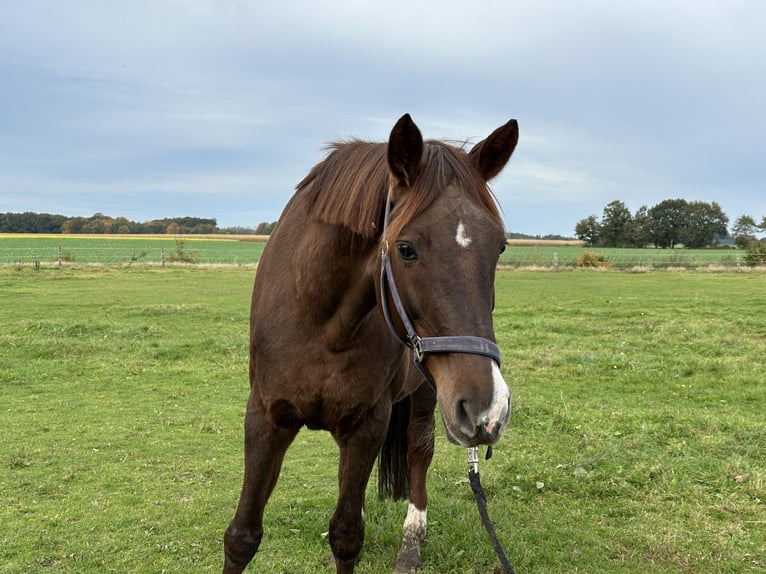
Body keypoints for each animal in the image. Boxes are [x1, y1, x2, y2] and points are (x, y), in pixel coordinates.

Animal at [225, 113, 520, 574]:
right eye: (406, 248)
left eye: (500, 247)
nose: (488, 408)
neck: (324, 325)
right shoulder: (265, 418)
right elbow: (242, 535)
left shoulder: (367, 424)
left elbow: (346, 537)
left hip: (425, 397)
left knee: (418, 454)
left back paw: (411, 544)